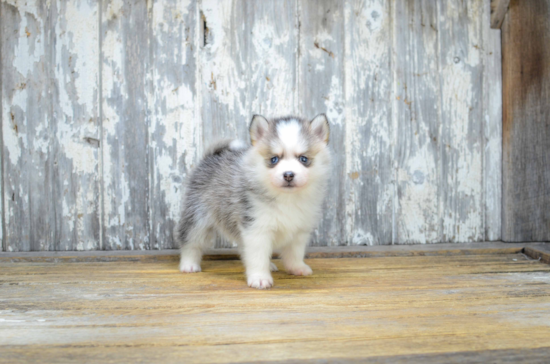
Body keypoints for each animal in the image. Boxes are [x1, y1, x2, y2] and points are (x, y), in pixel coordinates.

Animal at [177, 114, 332, 290]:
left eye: (303, 159)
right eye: (274, 159)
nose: (288, 175)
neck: (287, 198)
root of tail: (211, 157)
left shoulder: (298, 231)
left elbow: (294, 253)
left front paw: (297, 268)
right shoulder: (257, 229)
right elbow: (258, 257)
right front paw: (260, 278)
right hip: (197, 218)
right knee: (191, 242)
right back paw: (189, 264)